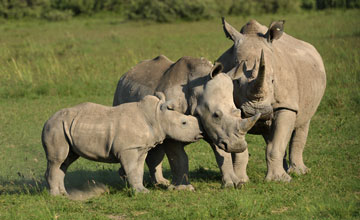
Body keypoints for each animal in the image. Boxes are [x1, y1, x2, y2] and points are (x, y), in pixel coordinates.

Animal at [42, 93, 202, 194]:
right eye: (184, 123)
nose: (201, 132)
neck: (157, 117)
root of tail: (48, 120)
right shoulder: (128, 149)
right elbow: (131, 169)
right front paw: (140, 192)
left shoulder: (140, 148)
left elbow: (138, 170)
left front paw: (142, 191)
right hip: (55, 127)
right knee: (57, 160)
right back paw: (56, 196)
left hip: (64, 126)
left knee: (66, 161)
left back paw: (64, 194)